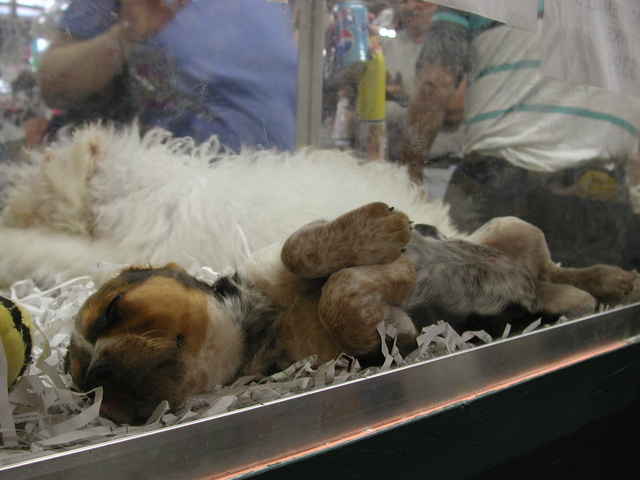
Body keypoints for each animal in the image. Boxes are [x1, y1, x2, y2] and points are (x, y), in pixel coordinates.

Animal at [67, 202, 639, 425]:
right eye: (84, 389)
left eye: (112, 311)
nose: (98, 373)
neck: (257, 326)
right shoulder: (367, 349)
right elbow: (350, 303)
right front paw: (393, 279)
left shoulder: (280, 258)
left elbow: (304, 251)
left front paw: (384, 235)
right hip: (535, 273)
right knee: (555, 287)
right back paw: (597, 291)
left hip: (512, 226)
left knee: (553, 266)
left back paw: (616, 279)